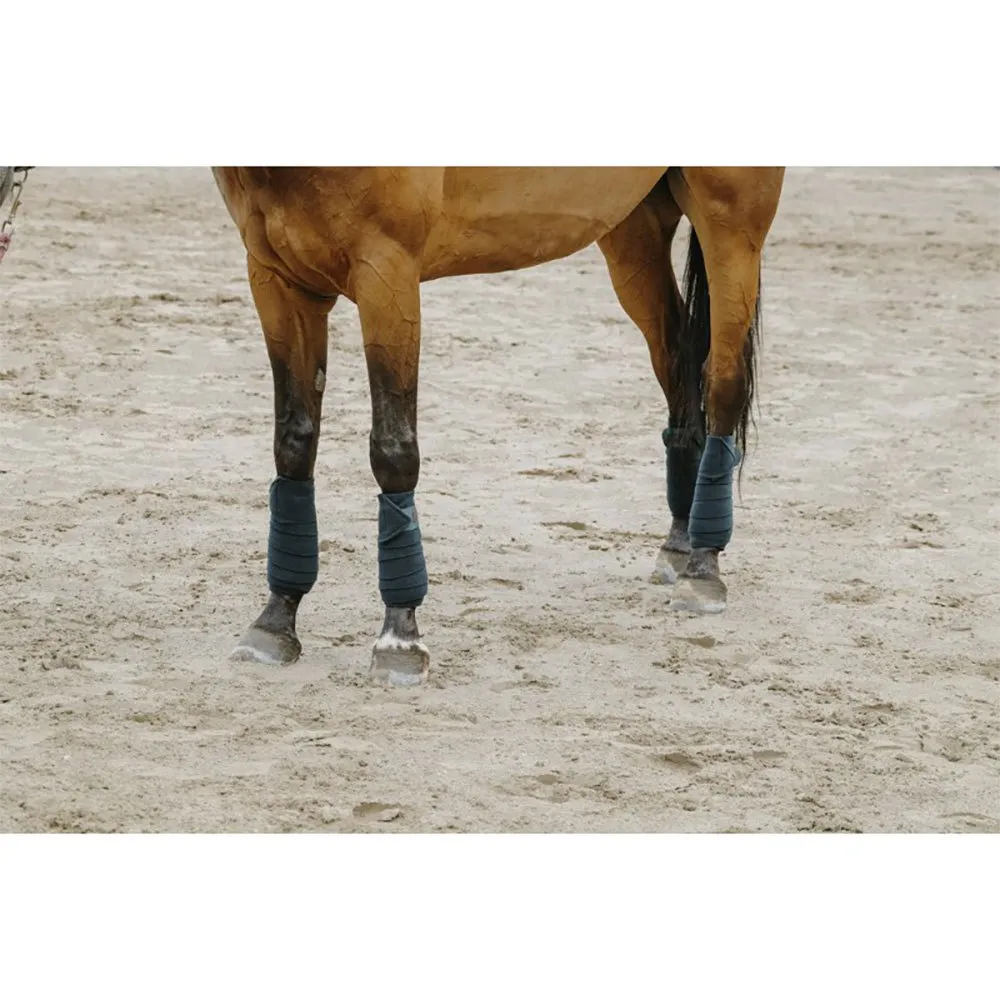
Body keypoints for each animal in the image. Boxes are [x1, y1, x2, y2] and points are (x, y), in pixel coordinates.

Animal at [212, 167, 785, 684]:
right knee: (678, 363)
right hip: (633, 233)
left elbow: (392, 450)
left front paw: (400, 638)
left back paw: (704, 568)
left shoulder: (387, 275)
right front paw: (276, 620)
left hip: (730, 226)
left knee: (723, 383)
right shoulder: (275, 280)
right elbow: (293, 442)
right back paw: (680, 544)